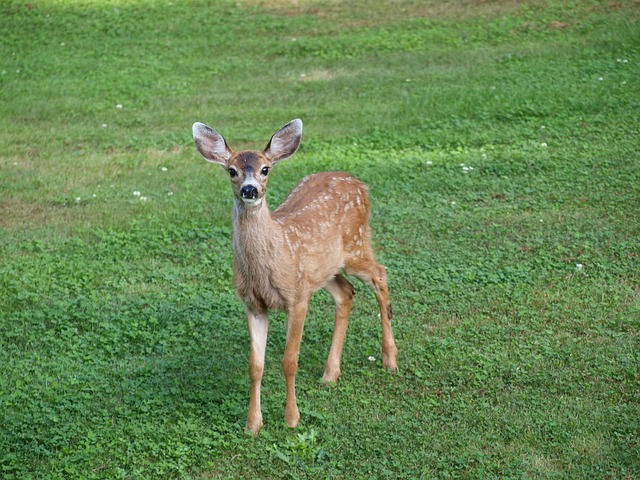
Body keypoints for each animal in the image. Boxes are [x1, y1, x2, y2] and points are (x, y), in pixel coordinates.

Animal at [192, 119, 398, 436]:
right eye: (232, 170)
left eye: (265, 169)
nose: (250, 190)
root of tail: (359, 183)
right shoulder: (253, 304)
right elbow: (256, 365)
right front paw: (253, 424)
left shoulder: (297, 298)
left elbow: (289, 361)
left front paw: (292, 418)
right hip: (322, 270)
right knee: (346, 292)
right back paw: (330, 373)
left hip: (356, 246)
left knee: (379, 274)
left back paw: (390, 359)